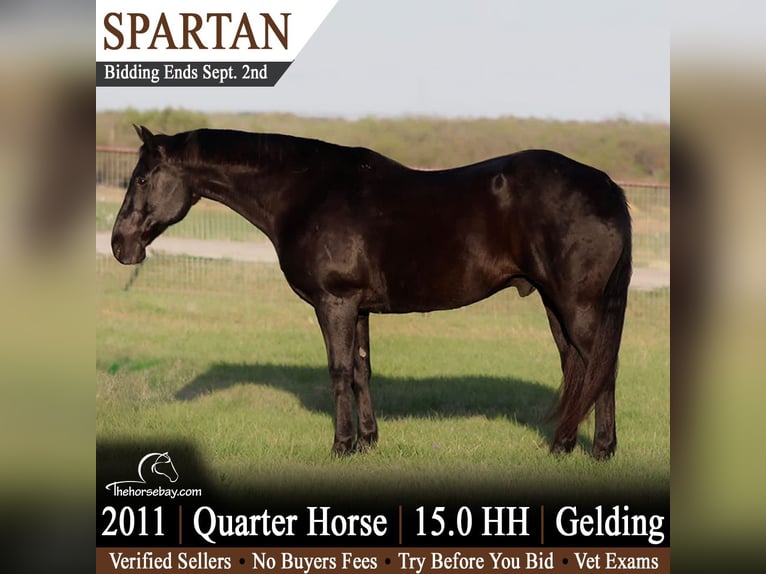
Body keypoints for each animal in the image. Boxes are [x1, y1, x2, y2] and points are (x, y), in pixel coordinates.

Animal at [112, 125, 632, 460]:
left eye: (141, 178)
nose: (120, 244)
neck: (306, 192)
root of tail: (606, 186)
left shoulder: (335, 302)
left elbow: (339, 370)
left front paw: (341, 446)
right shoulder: (358, 308)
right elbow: (362, 371)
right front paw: (367, 442)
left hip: (577, 306)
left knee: (600, 370)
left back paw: (601, 451)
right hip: (555, 304)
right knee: (577, 369)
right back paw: (562, 447)